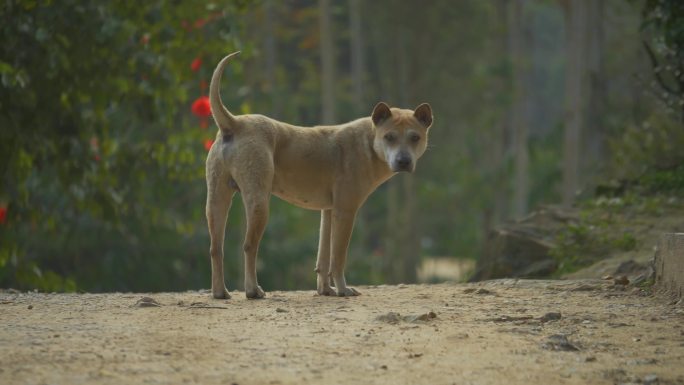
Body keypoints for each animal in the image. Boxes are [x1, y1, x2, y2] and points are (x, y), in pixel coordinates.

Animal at [206, 51, 436, 296]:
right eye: (389, 137)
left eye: (415, 138)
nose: (404, 161)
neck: (369, 142)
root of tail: (235, 123)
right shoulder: (345, 212)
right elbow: (338, 257)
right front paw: (343, 289)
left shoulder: (328, 211)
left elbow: (323, 257)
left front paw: (326, 290)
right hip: (259, 202)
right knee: (249, 246)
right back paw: (253, 290)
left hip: (217, 200)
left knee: (215, 248)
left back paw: (220, 293)